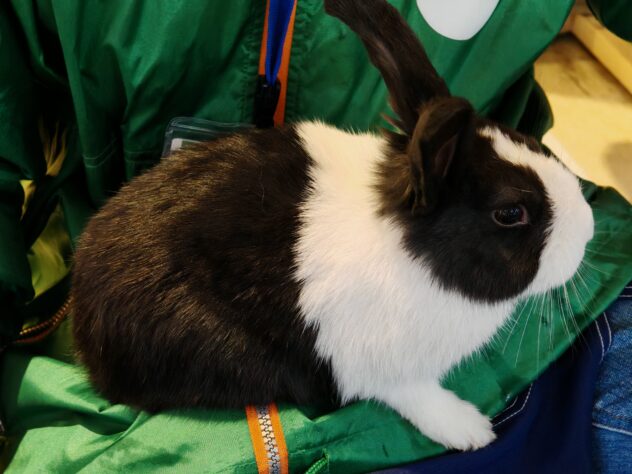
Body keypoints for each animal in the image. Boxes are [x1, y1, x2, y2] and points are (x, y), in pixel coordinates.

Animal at [71, 0, 594, 451]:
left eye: (528, 139)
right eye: (510, 213)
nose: (589, 229)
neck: (417, 254)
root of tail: (82, 322)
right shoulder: (379, 367)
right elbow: (417, 396)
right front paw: (471, 430)